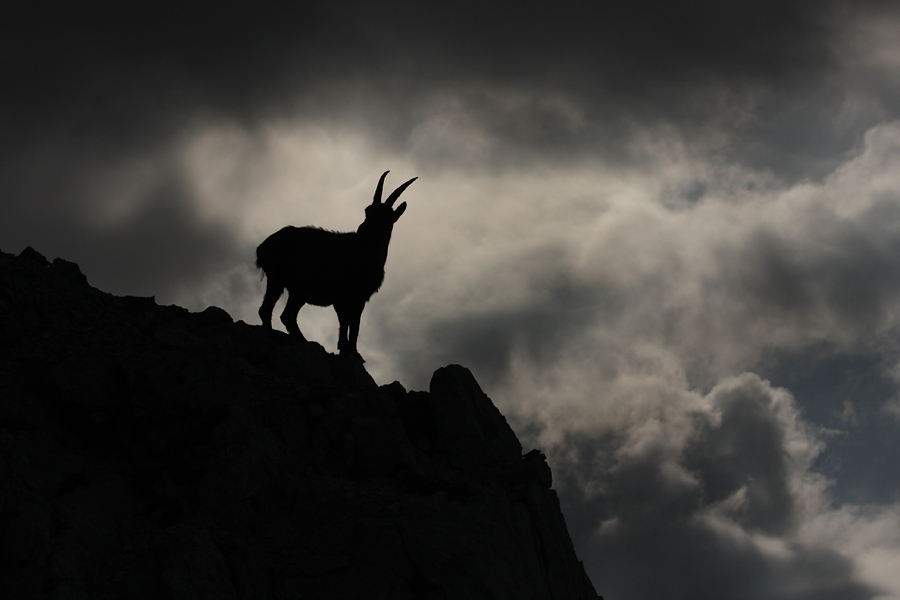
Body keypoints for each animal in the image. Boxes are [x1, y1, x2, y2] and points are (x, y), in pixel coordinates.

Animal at [255, 171, 416, 361]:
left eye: (386, 217)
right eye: (367, 210)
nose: (363, 230)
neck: (364, 254)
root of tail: (263, 247)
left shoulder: (359, 298)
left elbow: (355, 324)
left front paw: (353, 352)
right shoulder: (341, 295)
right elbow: (345, 322)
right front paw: (345, 349)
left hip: (297, 291)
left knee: (287, 315)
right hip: (277, 277)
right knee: (268, 310)